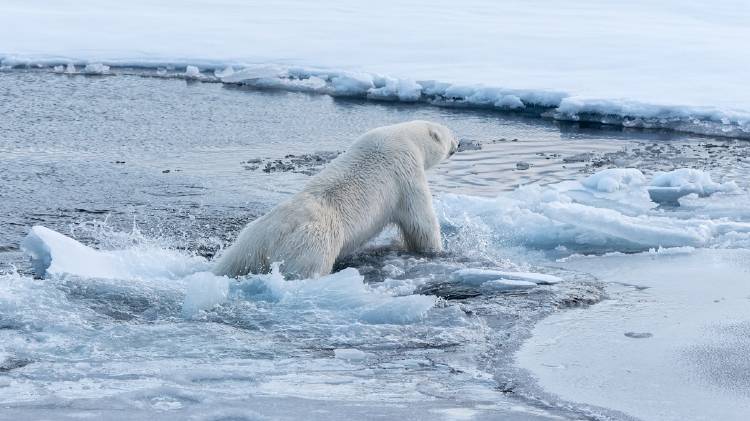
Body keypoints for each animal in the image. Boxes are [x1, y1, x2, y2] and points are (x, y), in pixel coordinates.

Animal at [212, 120, 458, 278]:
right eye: (448, 134)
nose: (459, 141)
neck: (406, 137)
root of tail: (271, 237)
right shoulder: (406, 172)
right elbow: (420, 221)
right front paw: (436, 251)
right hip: (312, 245)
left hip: (247, 244)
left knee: (232, 263)